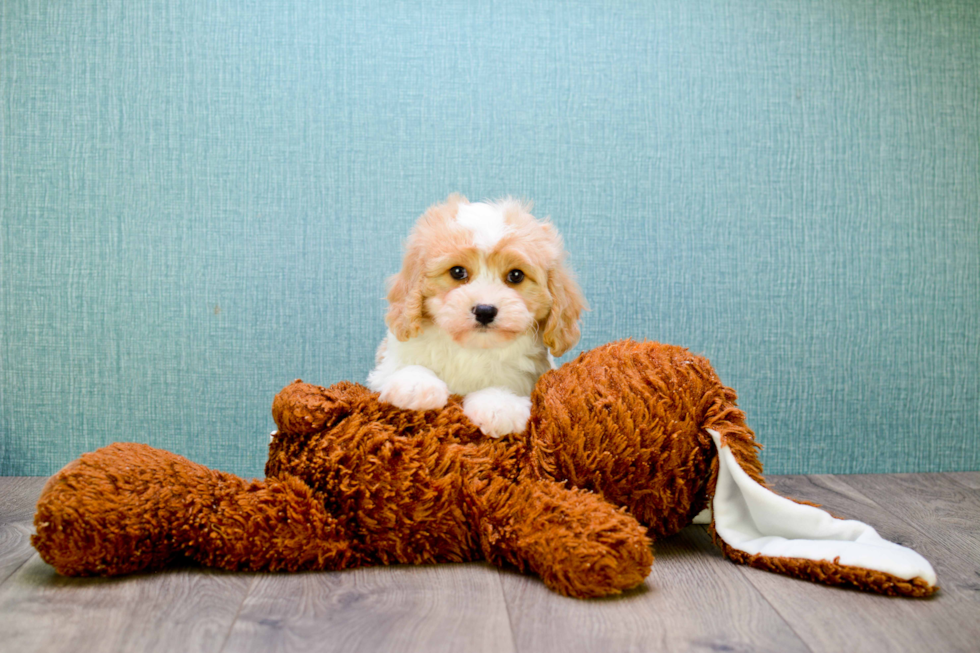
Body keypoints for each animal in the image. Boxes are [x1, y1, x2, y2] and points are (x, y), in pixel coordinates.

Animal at [366, 194, 580, 438]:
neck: (472, 349)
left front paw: (499, 405)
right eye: (458, 272)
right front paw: (415, 385)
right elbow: (401, 367)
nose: (485, 310)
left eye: (516, 275)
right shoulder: (386, 364)